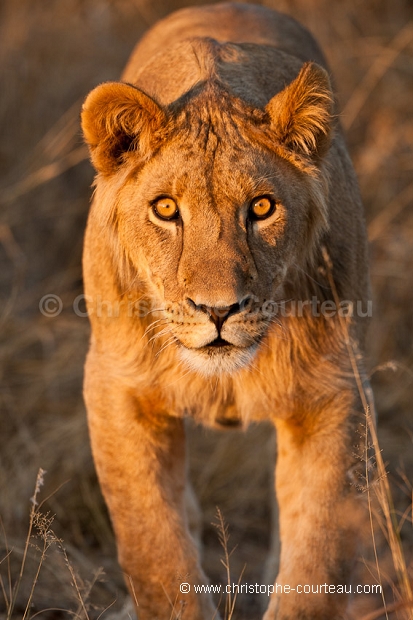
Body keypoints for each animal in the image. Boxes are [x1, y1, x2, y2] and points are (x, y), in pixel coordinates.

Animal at [80, 2, 370, 616]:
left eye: (261, 208)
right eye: (166, 209)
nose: (219, 310)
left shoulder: (334, 387)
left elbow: (319, 553)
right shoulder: (116, 386)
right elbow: (154, 549)